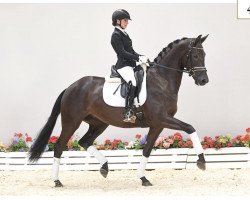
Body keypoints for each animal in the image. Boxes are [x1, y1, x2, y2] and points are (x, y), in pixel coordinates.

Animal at [28, 34, 209, 188]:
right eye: (195, 56)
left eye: (204, 54)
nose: (203, 80)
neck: (161, 80)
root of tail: (70, 87)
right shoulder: (161, 118)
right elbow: (190, 127)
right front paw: (201, 161)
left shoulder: (158, 124)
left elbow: (147, 150)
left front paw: (143, 178)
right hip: (72, 121)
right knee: (59, 147)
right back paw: (57, 181)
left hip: (99, 123)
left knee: (84, 142)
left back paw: (104, 167)